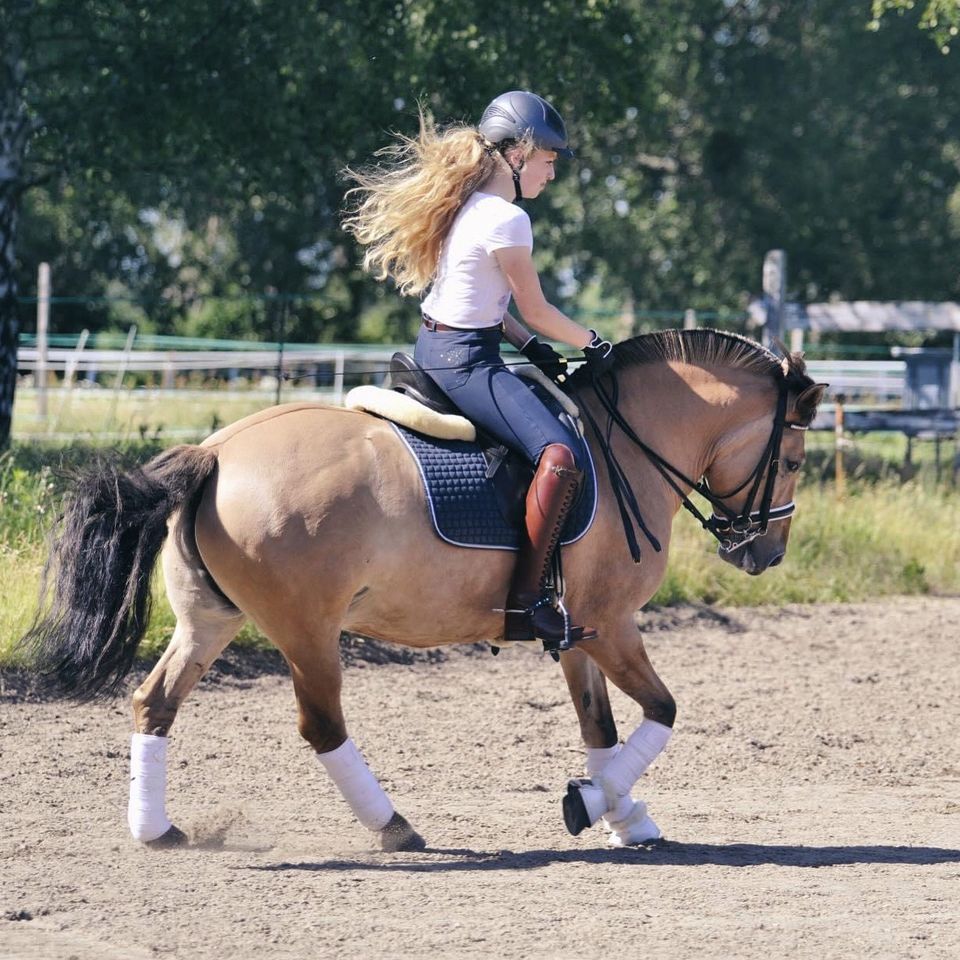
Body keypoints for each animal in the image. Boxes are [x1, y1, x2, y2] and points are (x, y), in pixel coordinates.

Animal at [20, 328, 824, 848]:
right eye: (791, 460)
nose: (766, 553)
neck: (621, 445)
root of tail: (216, 452)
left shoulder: (578, 631)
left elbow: (599, 727)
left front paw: (625, 816)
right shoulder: (614, 623)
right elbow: (661, 712)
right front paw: (592, 803)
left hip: (208, 622)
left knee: (154, 702)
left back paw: (155, 830)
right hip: (308, 633)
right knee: (322, 727)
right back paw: (394, 827)